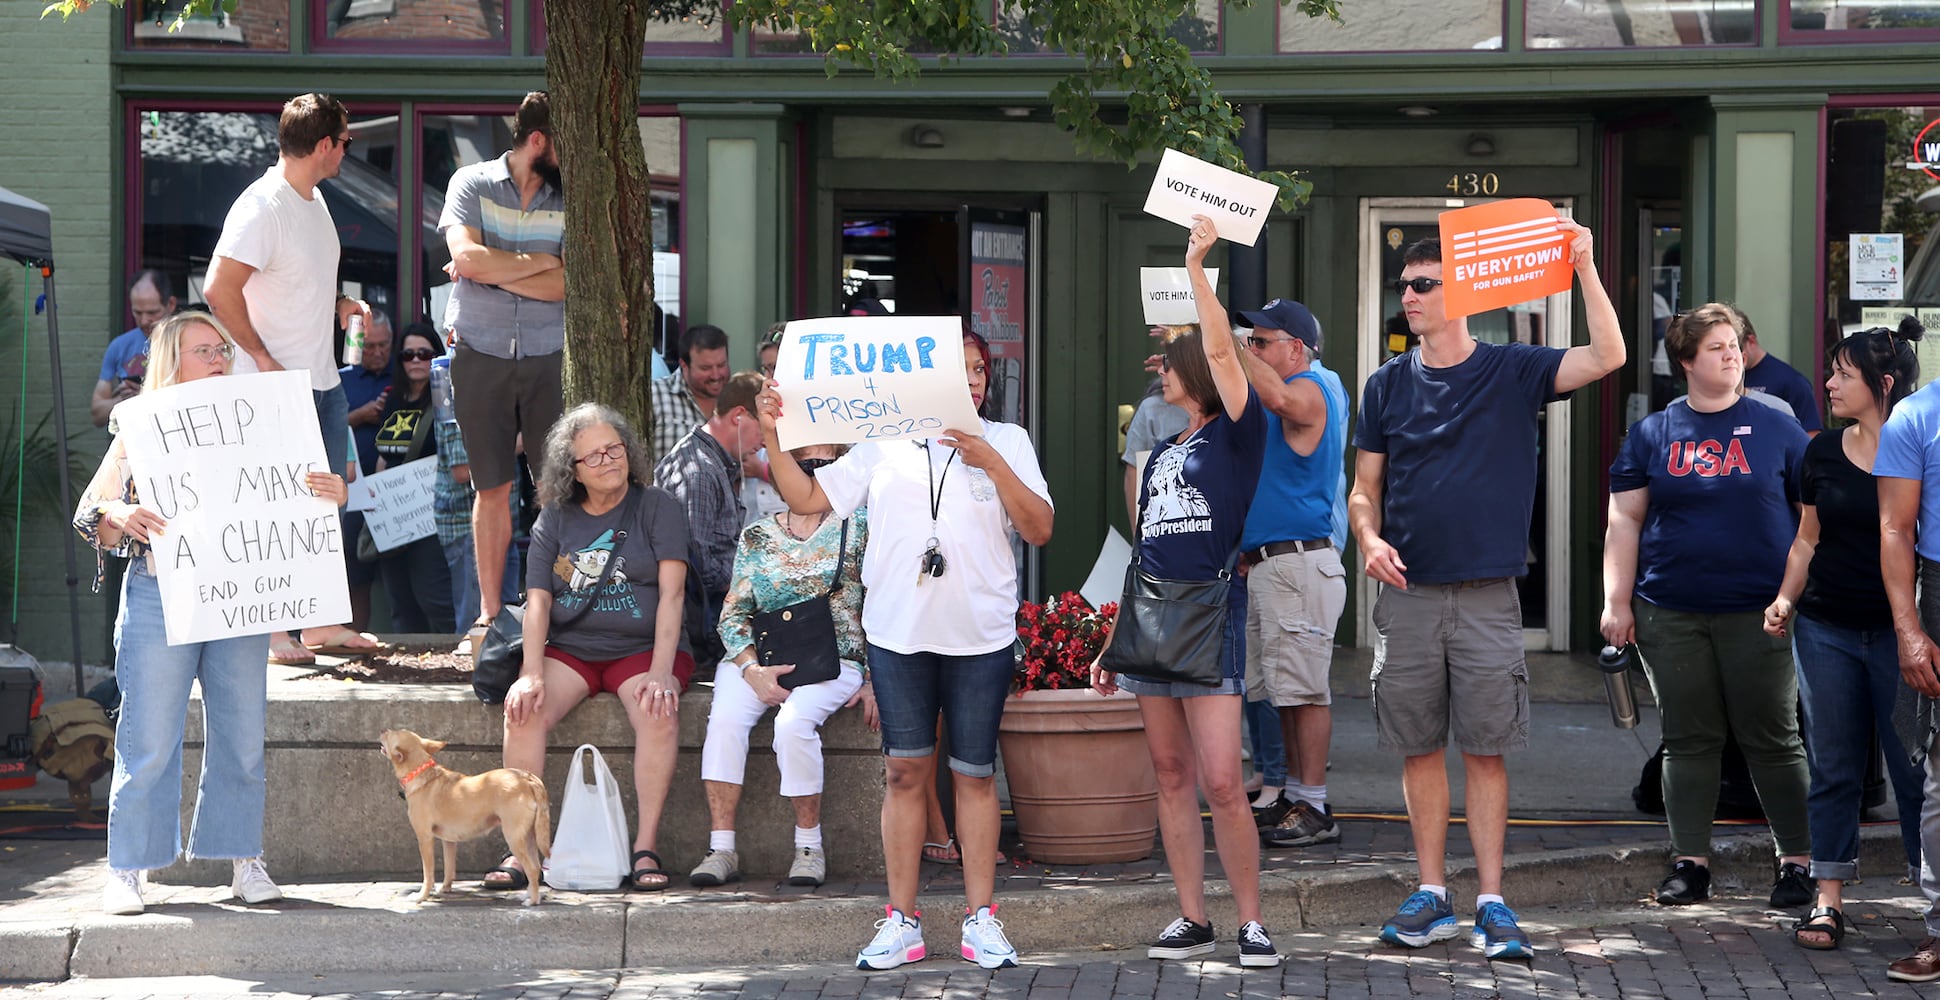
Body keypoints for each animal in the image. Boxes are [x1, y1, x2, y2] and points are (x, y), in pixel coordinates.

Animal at [378, 726, 550, 908]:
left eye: (390, 734)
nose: (383, 730)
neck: (423, 773)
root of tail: (528, 778)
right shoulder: (448, 841)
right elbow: (449, 868)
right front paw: (445, 888)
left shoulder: (424, 838)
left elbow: (428, 874)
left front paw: (421, 896)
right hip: (530, 836)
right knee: (536, 867)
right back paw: (530, 895)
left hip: (514, 836)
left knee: (531, 869)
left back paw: (532, 901)